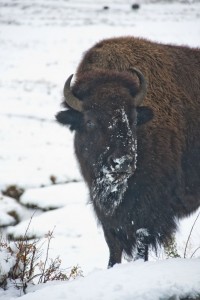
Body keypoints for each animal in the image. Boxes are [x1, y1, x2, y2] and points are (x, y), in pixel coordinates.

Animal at [55, 35, 200, 268]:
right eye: (90, 121)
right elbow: (113, 246)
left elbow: (141, 242)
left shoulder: (146, 211)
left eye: (132, 118)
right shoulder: (107, 215)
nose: (122, 162)